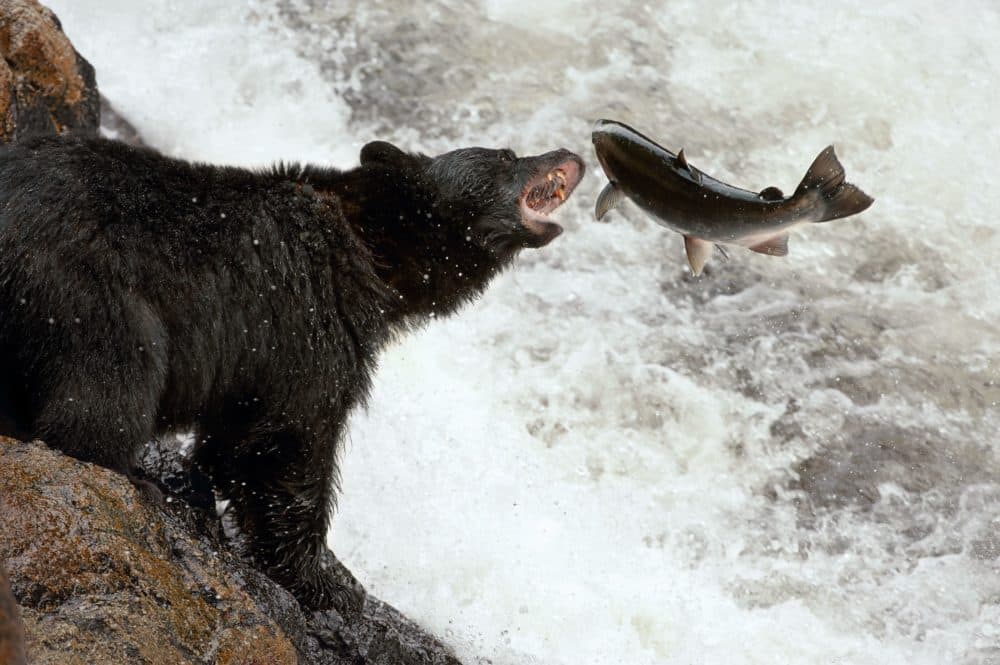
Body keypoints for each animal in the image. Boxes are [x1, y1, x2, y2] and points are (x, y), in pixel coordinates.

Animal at [0, 134, 584, 612]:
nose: (570, 153)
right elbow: (292, 440)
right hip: (86, 291)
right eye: (507, 155)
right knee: (113, 388)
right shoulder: (312, 319)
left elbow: (236, 433)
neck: (373, 251)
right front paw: (326, 582)